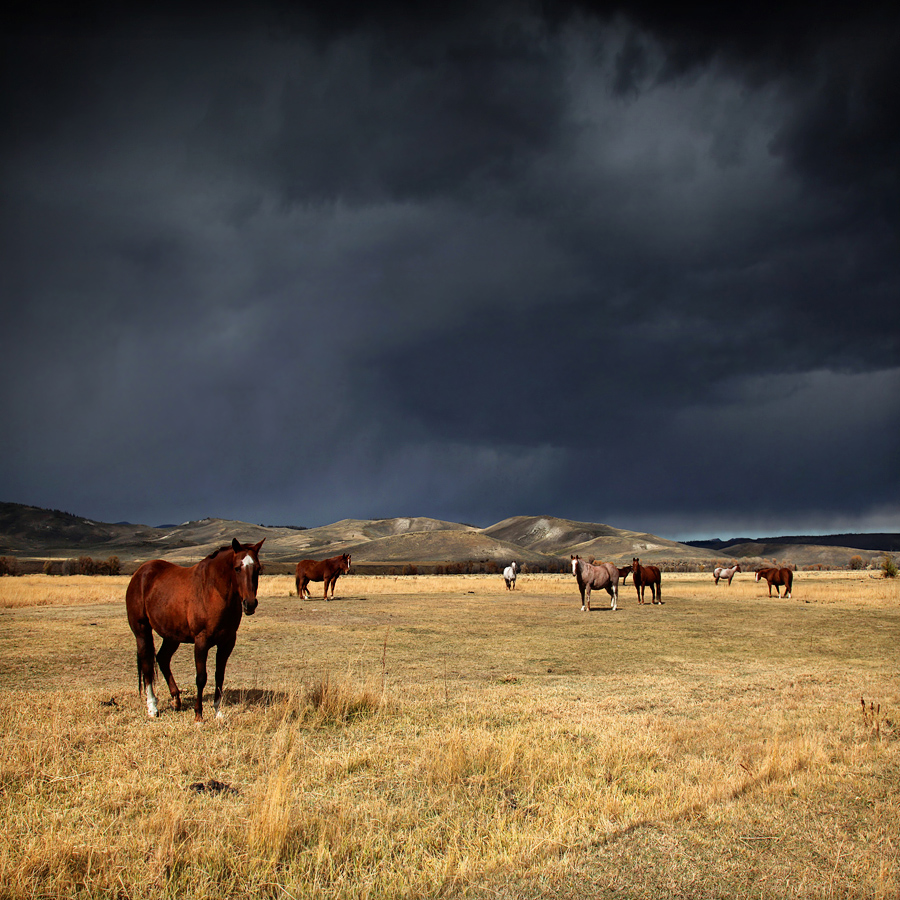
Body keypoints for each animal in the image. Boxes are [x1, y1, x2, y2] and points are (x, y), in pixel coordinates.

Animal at [125, 536, 264, 720]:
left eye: (258, 569)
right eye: (237, 568)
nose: (250, 604)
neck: (212, 592)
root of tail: (140, 573)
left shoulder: (227, 642)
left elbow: (219, 675)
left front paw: (218, 711)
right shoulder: (201, 641)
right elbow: (201, 677)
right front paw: (199, 715)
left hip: (172, 635)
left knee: (162, 658)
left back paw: (176, 699)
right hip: (142, 631)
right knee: (147, 664)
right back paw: (152, 707)